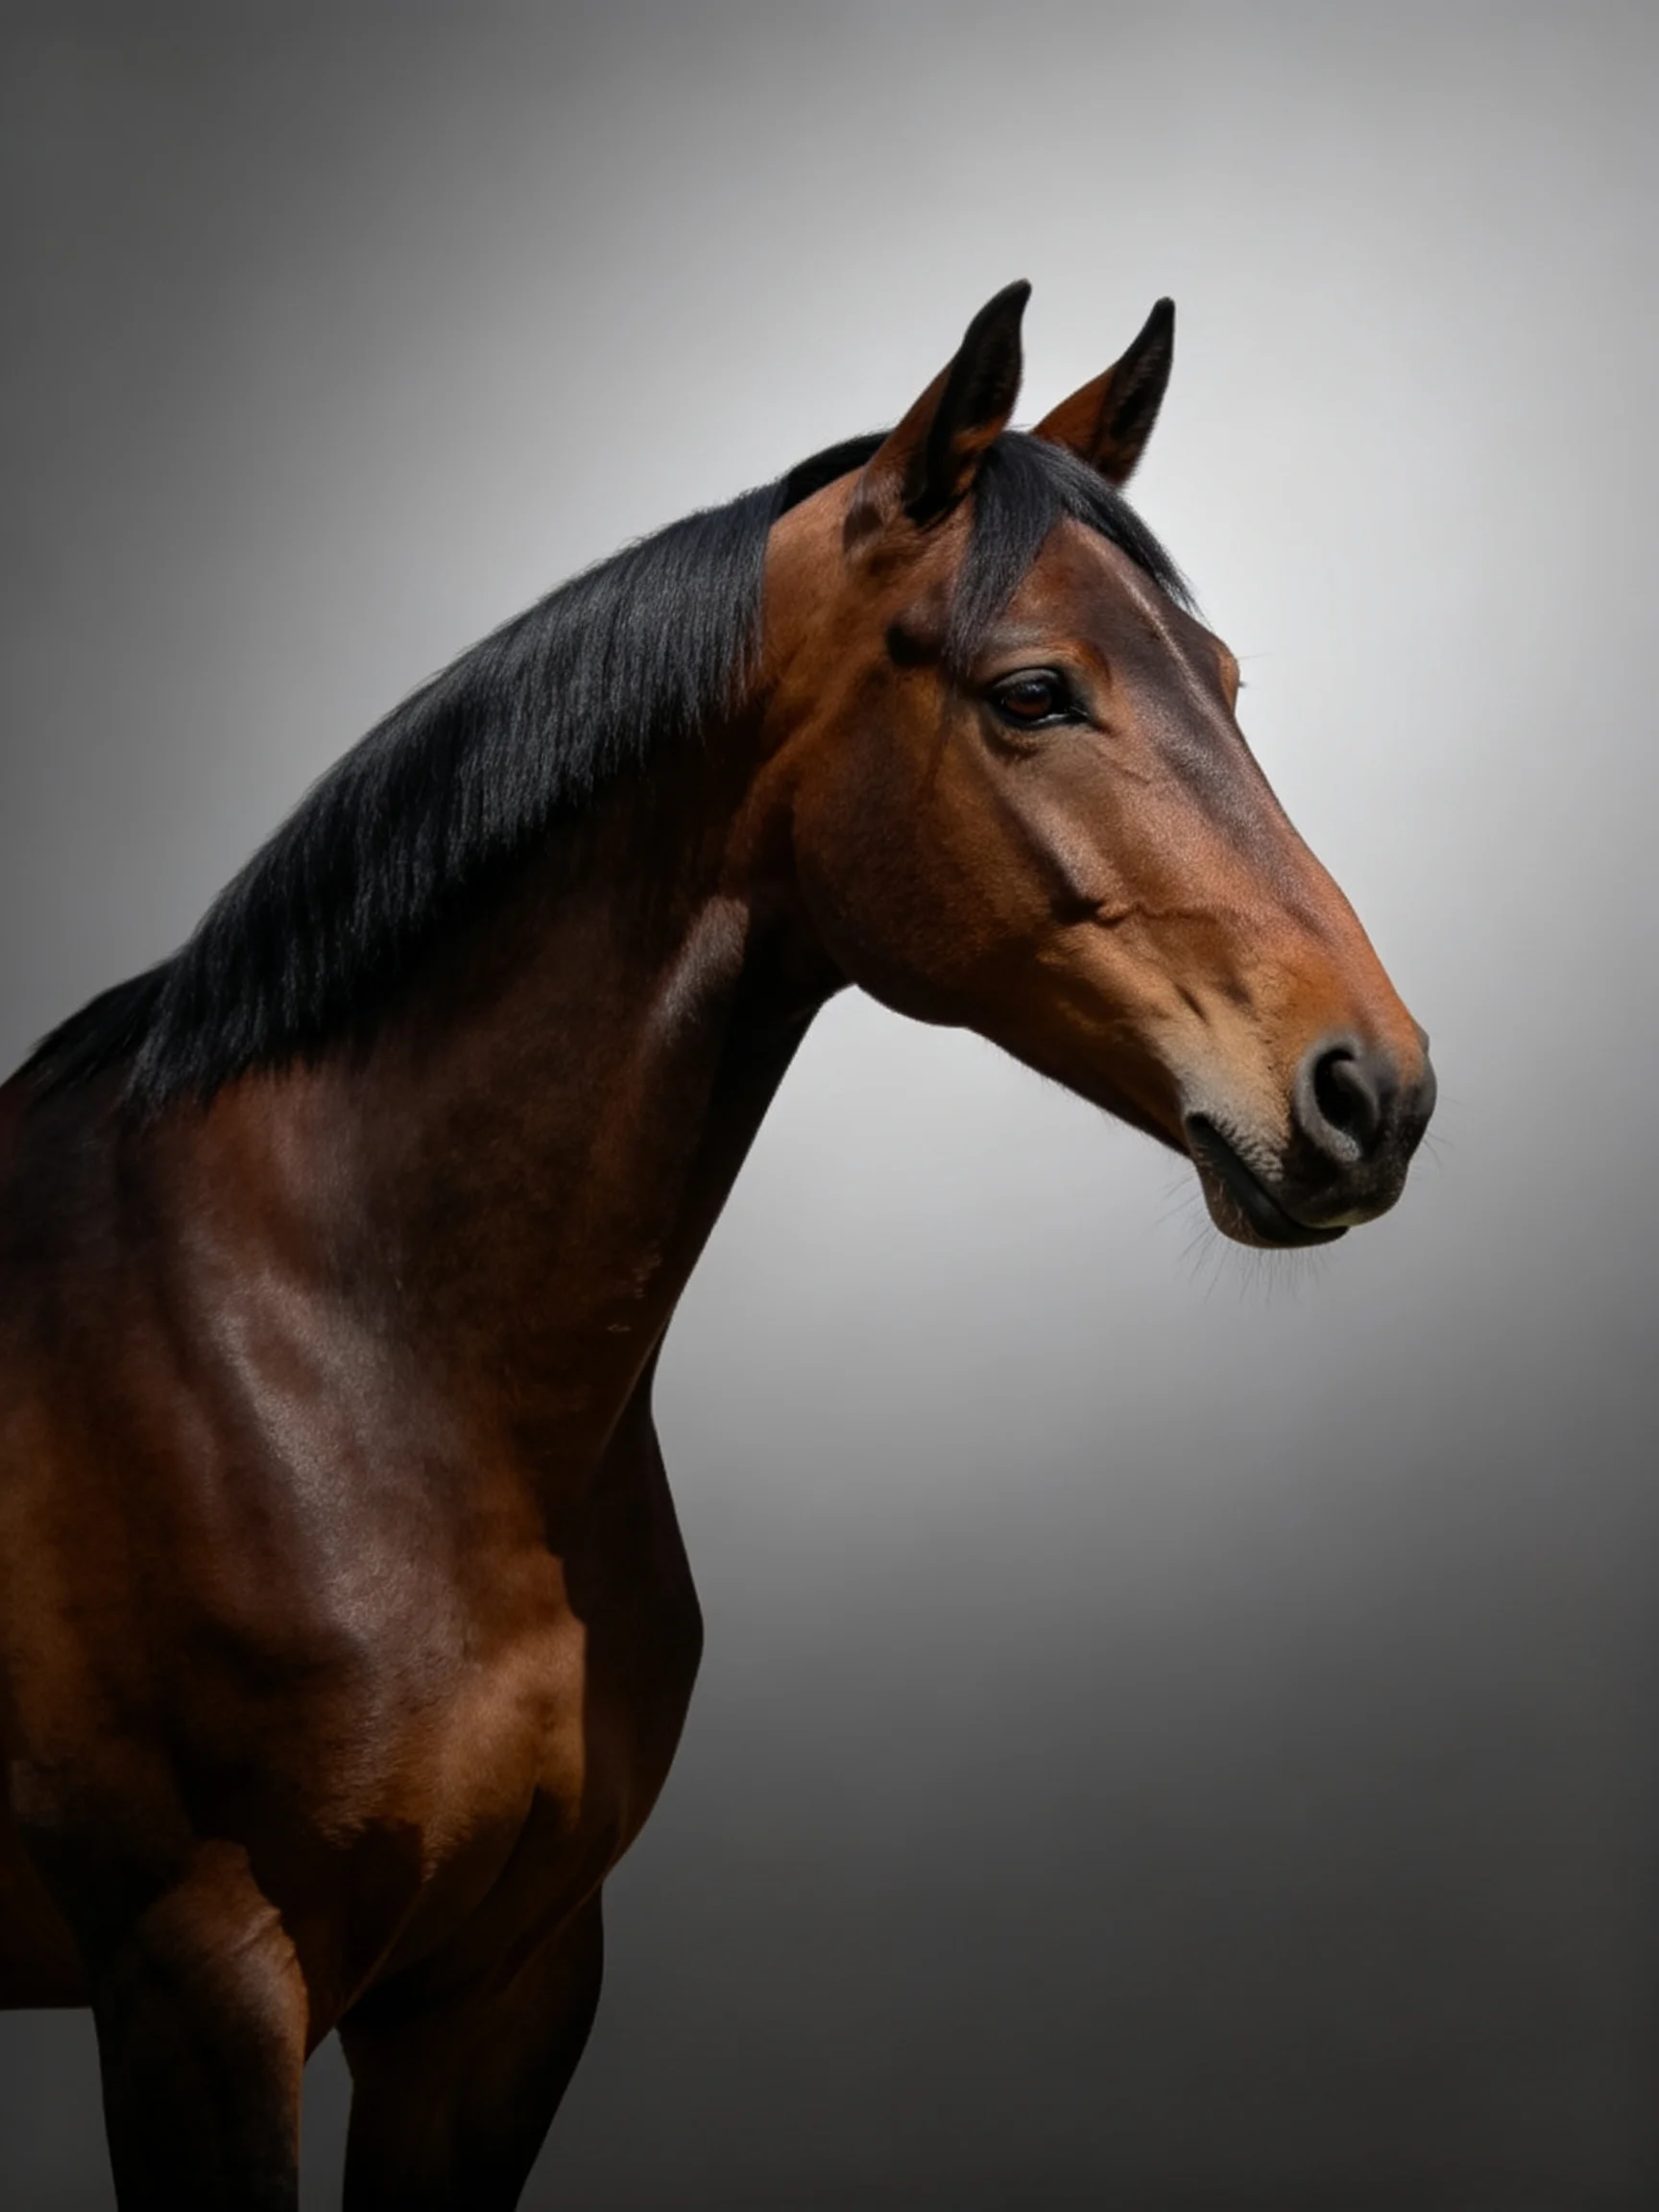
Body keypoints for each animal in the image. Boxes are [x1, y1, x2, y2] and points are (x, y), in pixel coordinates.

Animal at [0, 283, 1435, 2208]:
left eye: (1222, 684)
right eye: (1032, 690)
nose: (1372, 1090)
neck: (347, 1344)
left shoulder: (504, 1990)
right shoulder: (199, 1987)